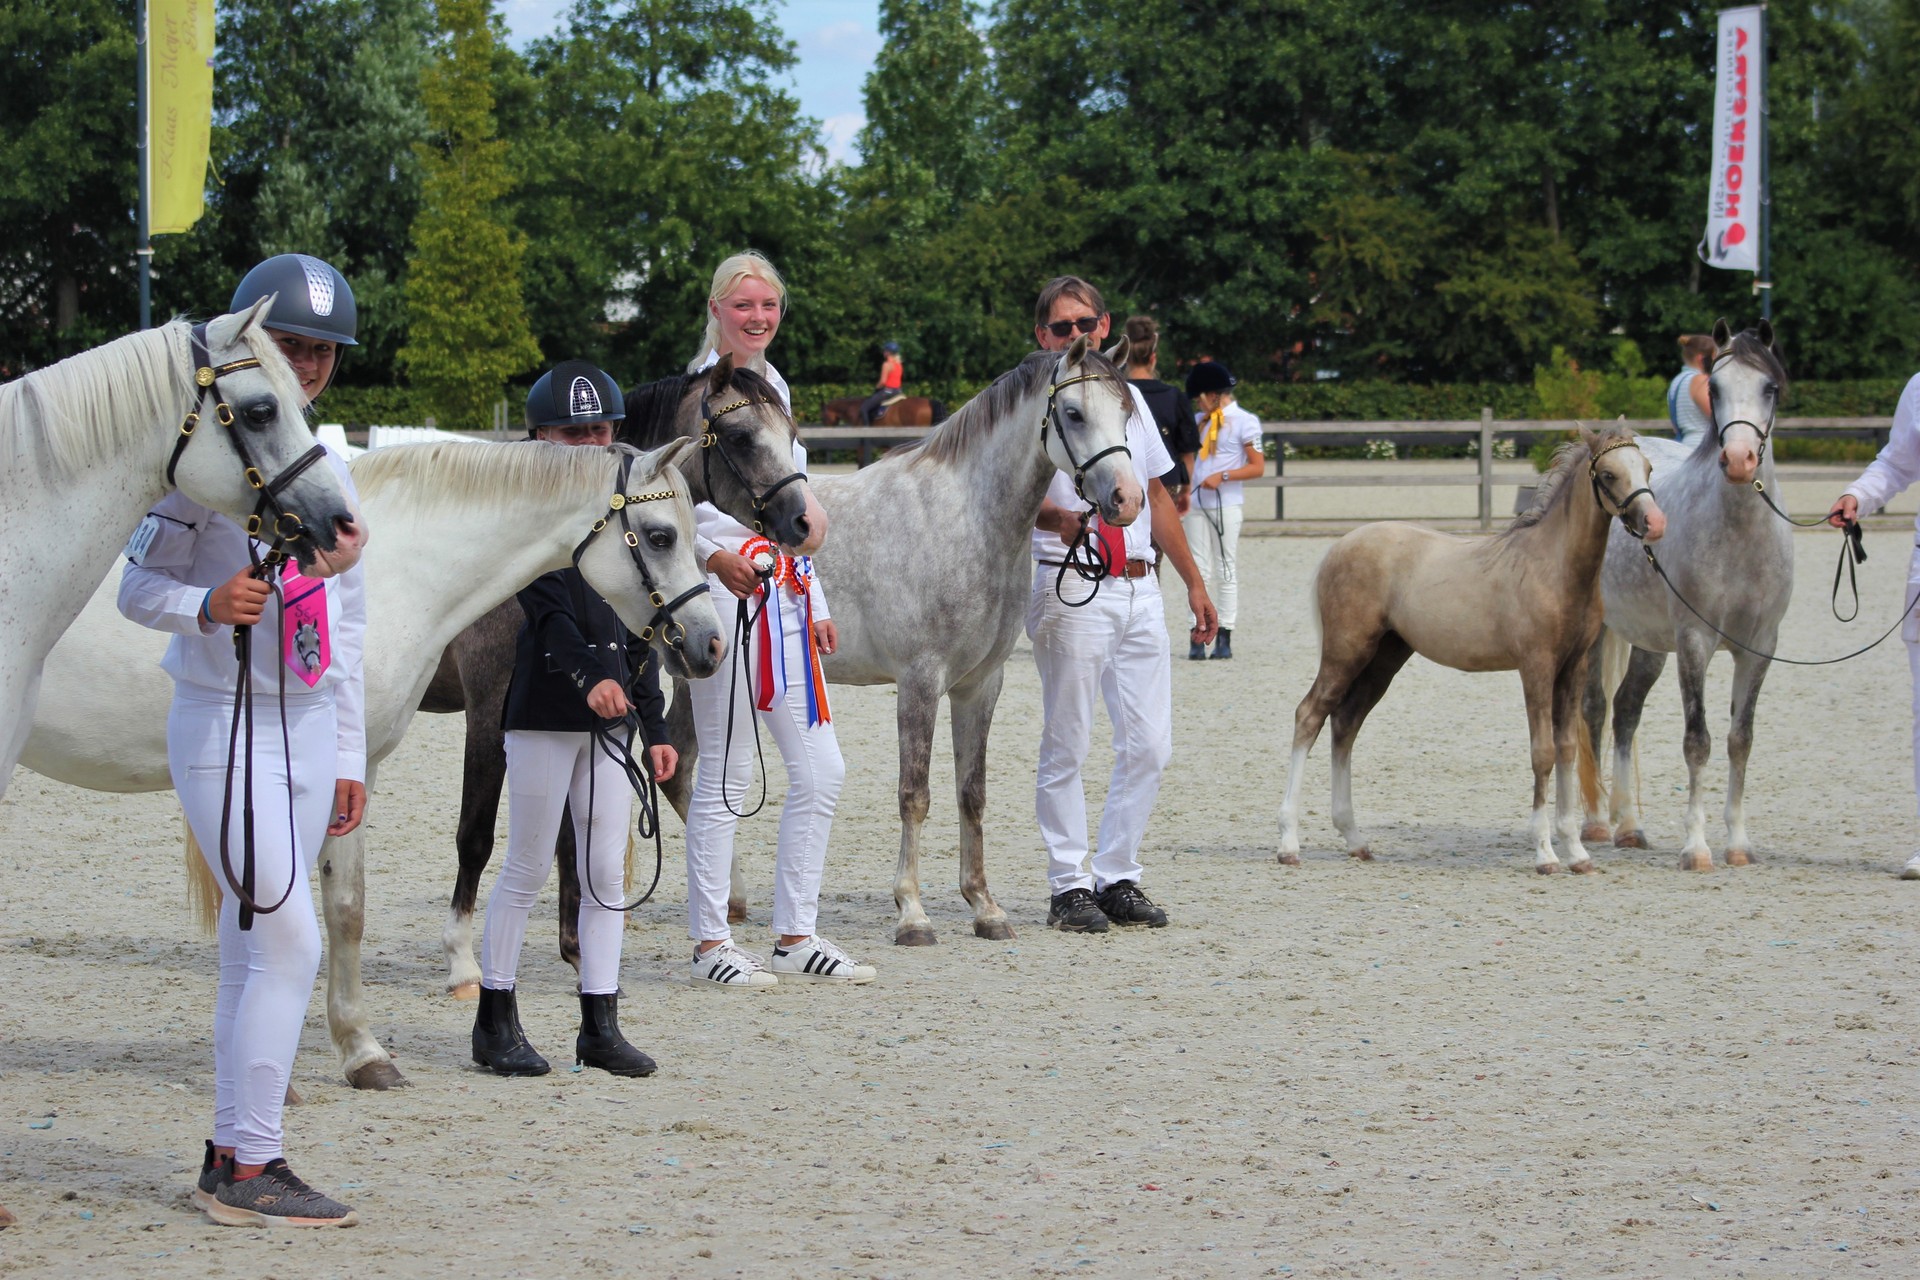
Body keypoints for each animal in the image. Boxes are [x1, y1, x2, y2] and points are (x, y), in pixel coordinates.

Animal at [21, 438, 723, 1089]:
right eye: (660, 536)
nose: (709, 643)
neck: (393, 575)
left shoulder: (357, 772)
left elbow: (346, 909)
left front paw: (362, 1052)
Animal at [422, 359, 825, 998]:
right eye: (741, 437)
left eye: (790, 434)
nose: (805, 522)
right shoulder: (490, 715)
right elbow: (476, 834)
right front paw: (462, 960)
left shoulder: (592, 719)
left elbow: (573, 837)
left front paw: (577, 950)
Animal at [657, 335, 1144, 945]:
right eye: (1074, 414)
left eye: (1125, 412)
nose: (1127, 499)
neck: (964, 518)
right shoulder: (920, 679)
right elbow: (915, 794)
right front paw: (912, 913)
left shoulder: (980, 685)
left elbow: (971, 793)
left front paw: (984, 907)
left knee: (678, 765)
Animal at [1275, 423, 1665, 872]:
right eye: (1608, 474)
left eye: (1648, 467)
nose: (1655, 522)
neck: (1553, 567)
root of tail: (1338, 548)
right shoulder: (1535, 666)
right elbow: (1543, 752)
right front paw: (1545, 853)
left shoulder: (1574, 667)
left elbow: (1567, 748)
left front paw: (1577, 852)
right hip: (1346, 650)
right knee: (1309, 715)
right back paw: (1289, 843)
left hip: (1384, 658)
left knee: (1345, 722)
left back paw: (1355, 839)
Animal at [1578, 321, 1794, 871]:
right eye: (1714, 389)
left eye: (1770, 388)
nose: (1738, 460)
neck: (1739, 538)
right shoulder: (1695, 641)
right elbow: (1698, 741)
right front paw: (1696, 848)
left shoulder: (1760, 647)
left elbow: (1740, 740)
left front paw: (1737, 843)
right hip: (1601, 635)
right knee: (1595, 709)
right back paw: (1597, 822)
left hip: (1650, 644)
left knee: (1626, 712)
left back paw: (1630, 826)